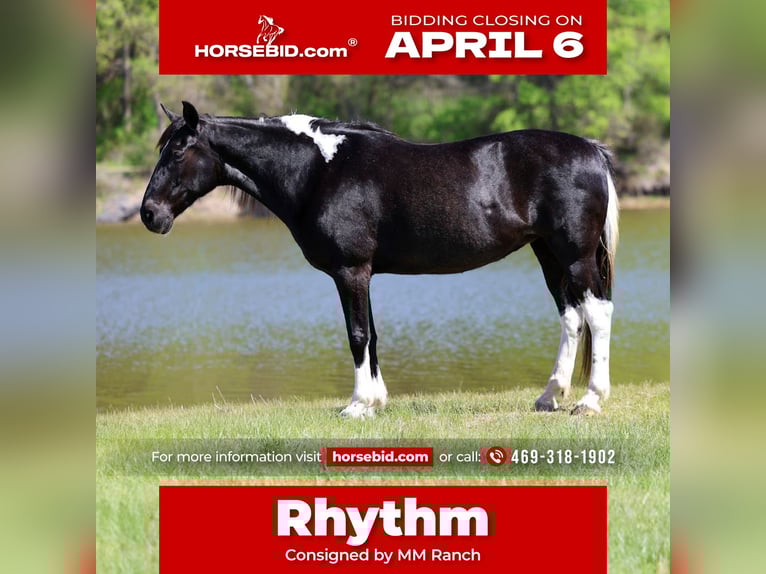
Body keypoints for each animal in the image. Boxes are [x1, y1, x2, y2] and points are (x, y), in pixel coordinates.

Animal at [141, 101, 619, 418]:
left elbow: (356, 335)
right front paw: (375, 400)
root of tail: (591, 149)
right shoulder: (363, 272)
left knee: (597, 313)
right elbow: (371, 334)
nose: (149, 214)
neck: (318, 171)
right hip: (549, 253)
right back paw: (549, 396)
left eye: (178, 150)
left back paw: (590, 400)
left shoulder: (350, 270)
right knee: (571, 316)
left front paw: (357, 405)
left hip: (575, 255)